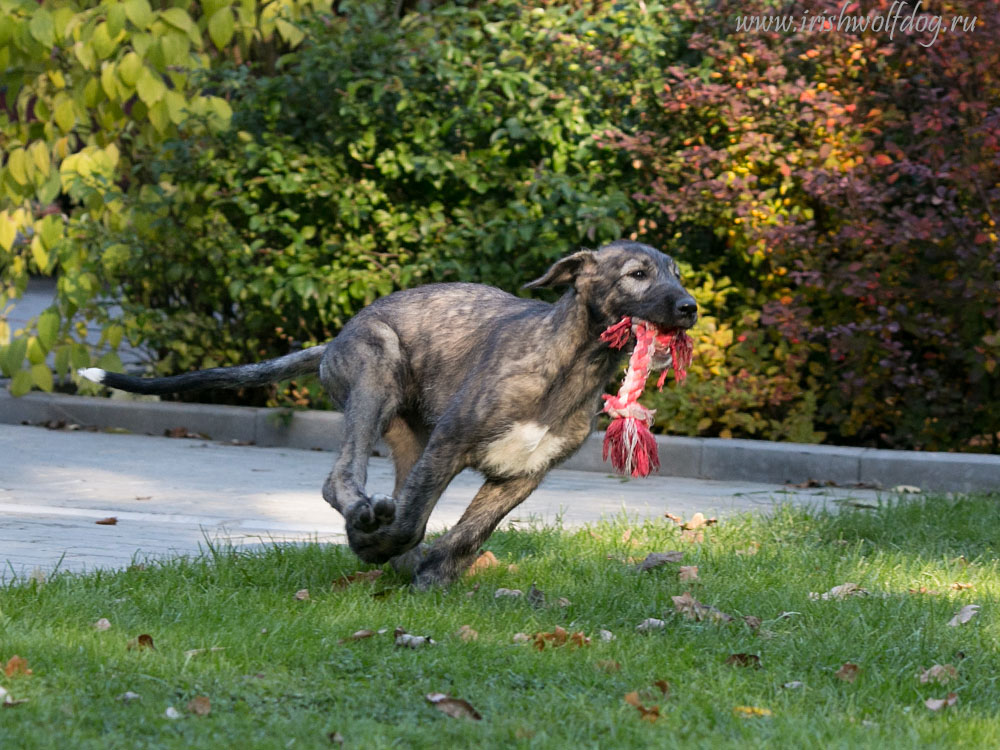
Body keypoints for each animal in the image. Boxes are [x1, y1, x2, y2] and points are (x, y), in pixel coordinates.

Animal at [80, 241, 696, 588]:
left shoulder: (522, 475)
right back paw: (363, 520)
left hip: (409, 437)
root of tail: (332, 342)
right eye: (637, 274)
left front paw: (431, 579)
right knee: (341, 478)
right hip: (375, 371)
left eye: (677, 272)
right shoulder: (449, 446)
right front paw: (371, 545)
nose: (689, 307)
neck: (570, 363)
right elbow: (411, 521)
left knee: (390, 493)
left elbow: (467, 535)